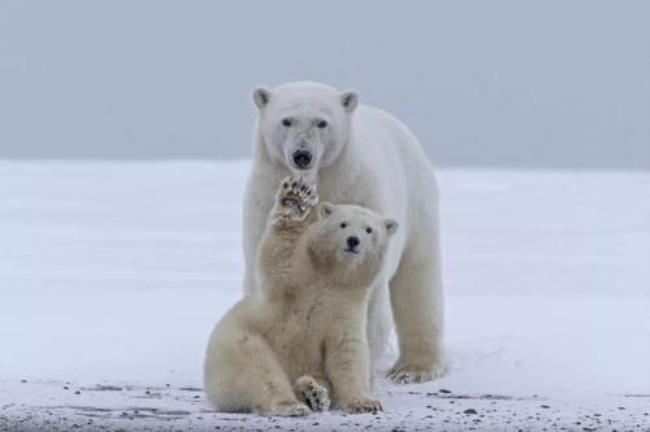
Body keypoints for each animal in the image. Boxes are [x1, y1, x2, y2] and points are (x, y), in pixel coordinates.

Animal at [202, 176, 394, 416]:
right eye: (343, 224)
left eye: (369, 230)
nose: (353, 240)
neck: (331, 276)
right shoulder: (297, 281)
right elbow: (279, 258)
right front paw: (295, 199)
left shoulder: (346, 305)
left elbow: (348, 351)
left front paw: (364, 402)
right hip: (239, 341)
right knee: (259, 369)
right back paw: (291, 403)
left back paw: (314, 393)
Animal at [243, 82, 446, 384]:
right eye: (286, 120)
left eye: (322, 122)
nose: (302, 155)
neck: (318, 181)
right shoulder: (264, 198)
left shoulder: (357, 191)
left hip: (418, 203)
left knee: (417, 278)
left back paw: (415, 368)